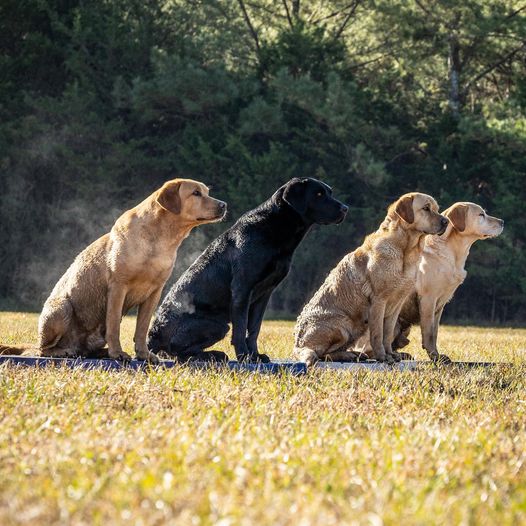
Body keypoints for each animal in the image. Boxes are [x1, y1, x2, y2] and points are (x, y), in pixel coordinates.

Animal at [0, 180, 225, 364]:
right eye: (196, 193)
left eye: (206, 191)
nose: (224, 205)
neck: (159, 239)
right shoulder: (118, 287)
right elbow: (114, 324)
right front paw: (118, 354)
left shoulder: (154, 293)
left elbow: (142, 328)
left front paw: (143, 354)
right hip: (61, 308)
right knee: (43, 350)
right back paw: (65, 351)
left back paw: (96, 352)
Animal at [147, 177, 350, 364]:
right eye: (318, 194)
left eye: (329, 192)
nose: (345, 208)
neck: (274, 229)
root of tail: (151, 337)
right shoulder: (242, 289)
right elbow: (240, 329)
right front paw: (244, 357)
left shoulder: (264, 294)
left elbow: (253, 329)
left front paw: (255, 355)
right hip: (218, 325)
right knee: (176, 352)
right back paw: (212, 355)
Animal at [294, 194, 448, 368]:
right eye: (426, 208)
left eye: (437, 209)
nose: (446, 222)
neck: (404, 250)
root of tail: (299, 344)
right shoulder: (379, 301)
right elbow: (377, 334)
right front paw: (383, 357)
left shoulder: (396, 305)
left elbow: (387, 334)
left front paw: (390, 354)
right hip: (343, 325)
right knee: (321, 354)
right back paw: (350, 355)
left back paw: (353, 354)